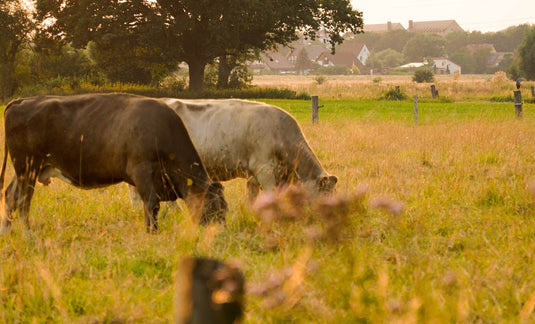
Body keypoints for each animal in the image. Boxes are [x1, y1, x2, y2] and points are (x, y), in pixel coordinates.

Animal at [0, 92, 227, 234]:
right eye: (214, 207)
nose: (219, 234)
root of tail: (22, 101)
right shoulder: (141, 169)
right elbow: (151, 204)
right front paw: (152, 233)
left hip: (27, 170)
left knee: (10, 196)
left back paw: (7, 231)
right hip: (27, 166)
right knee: (23, 201)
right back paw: (29, 235)